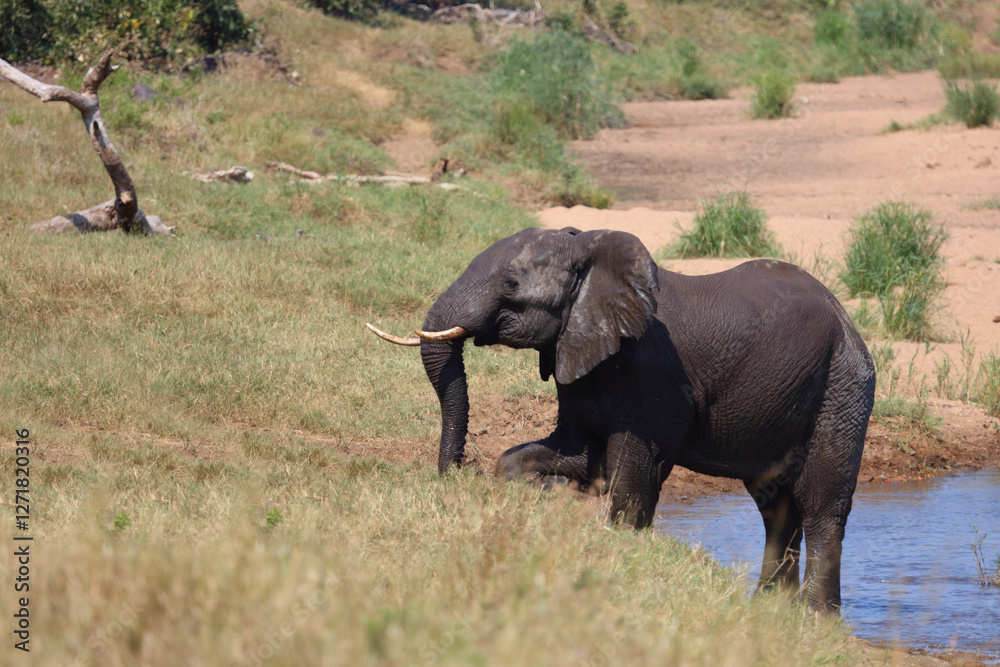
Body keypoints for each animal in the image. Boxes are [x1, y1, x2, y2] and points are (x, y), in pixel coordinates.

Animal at [369, 226, 875, 613]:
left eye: (510, 284)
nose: (455, 479)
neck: (591, 254)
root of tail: (847, 319)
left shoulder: (652, 374)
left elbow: (629, 474)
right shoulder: (577, 352)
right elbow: (573, 453)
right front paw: (546, 492)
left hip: (843, 387)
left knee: (820, 504)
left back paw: (814, 619)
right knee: (776, 505)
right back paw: (770, 612)